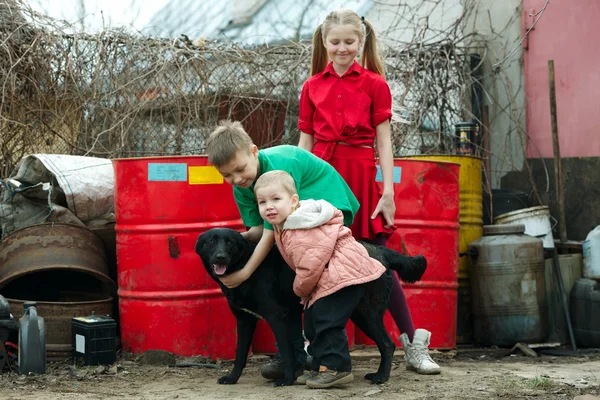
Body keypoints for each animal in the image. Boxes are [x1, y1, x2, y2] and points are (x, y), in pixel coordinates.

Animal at [193, 228, 426, 388]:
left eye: (230, 242)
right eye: (211, 242)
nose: (220, 257)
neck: (247, 264)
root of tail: (380, 250)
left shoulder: (277, 317)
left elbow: (287, 352)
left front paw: (287, 380)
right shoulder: (244, 320)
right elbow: (240, 353)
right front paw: (232, 378)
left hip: (365, 313)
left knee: (387, 344)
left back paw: (381, 377)